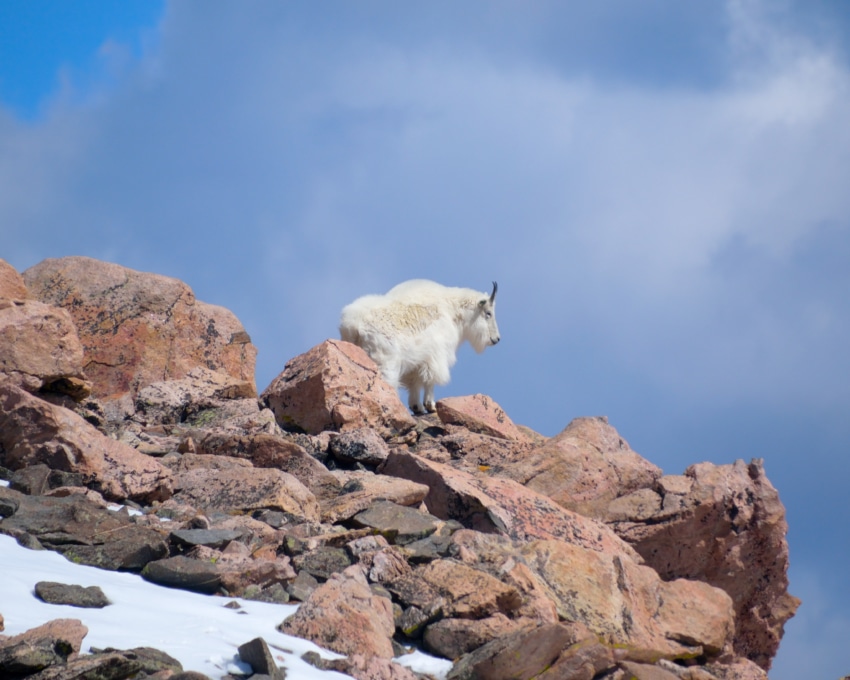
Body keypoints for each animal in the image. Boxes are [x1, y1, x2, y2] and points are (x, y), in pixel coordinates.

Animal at [336, 278, 496, 414]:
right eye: (488, 313)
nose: (496, 339)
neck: (452, 311)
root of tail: (353, 326)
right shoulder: (435, 355)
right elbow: (430, 380)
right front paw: (430, 406)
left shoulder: (417, 361)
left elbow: (415, 383)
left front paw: (417, 406)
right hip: (385, 361)